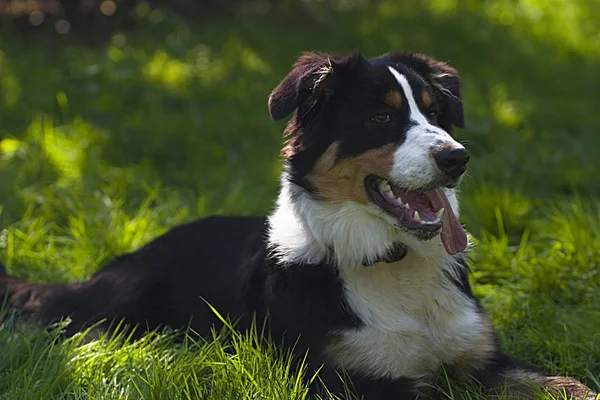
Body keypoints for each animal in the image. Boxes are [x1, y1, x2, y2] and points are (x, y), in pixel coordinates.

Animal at [0, 50, 596, 400]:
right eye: (381, 117)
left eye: (434, 112)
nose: (457, 158)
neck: (394, 262)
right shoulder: (349, 380)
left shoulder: (484, 360)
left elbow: (569, 384)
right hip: (117, 308)